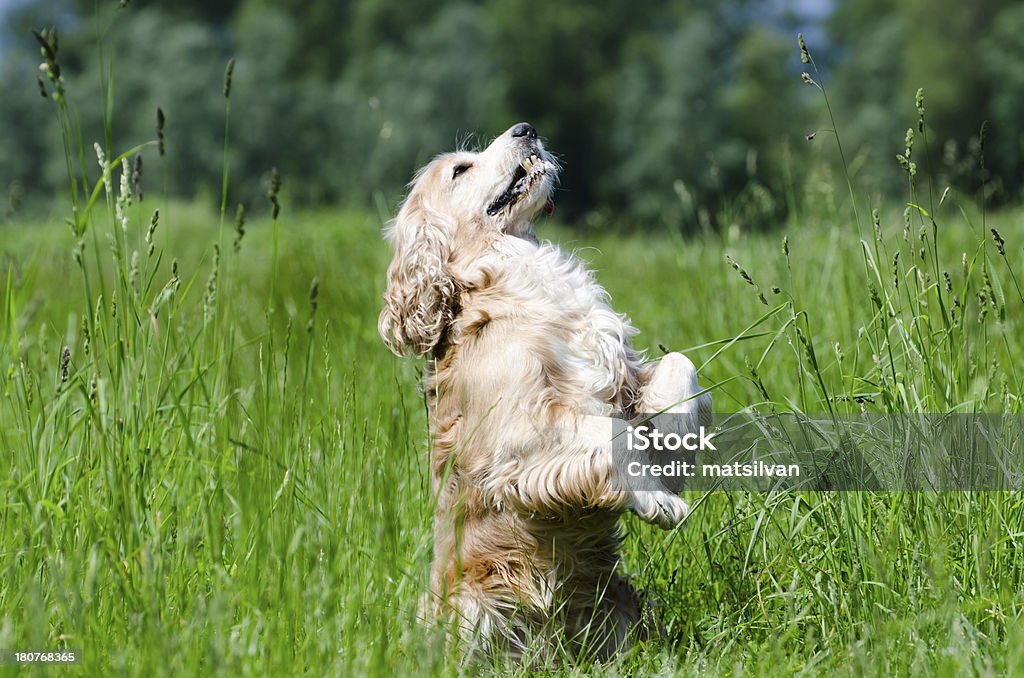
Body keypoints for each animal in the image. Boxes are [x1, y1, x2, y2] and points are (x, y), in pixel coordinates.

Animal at [378, 122, 712, 659]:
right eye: (460, 169)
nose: (525, 128)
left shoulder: (623, 380)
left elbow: (679, 369)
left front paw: (675, 450)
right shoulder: (517, 430)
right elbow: (611, 434)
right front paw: (658, 500)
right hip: (471, 612)